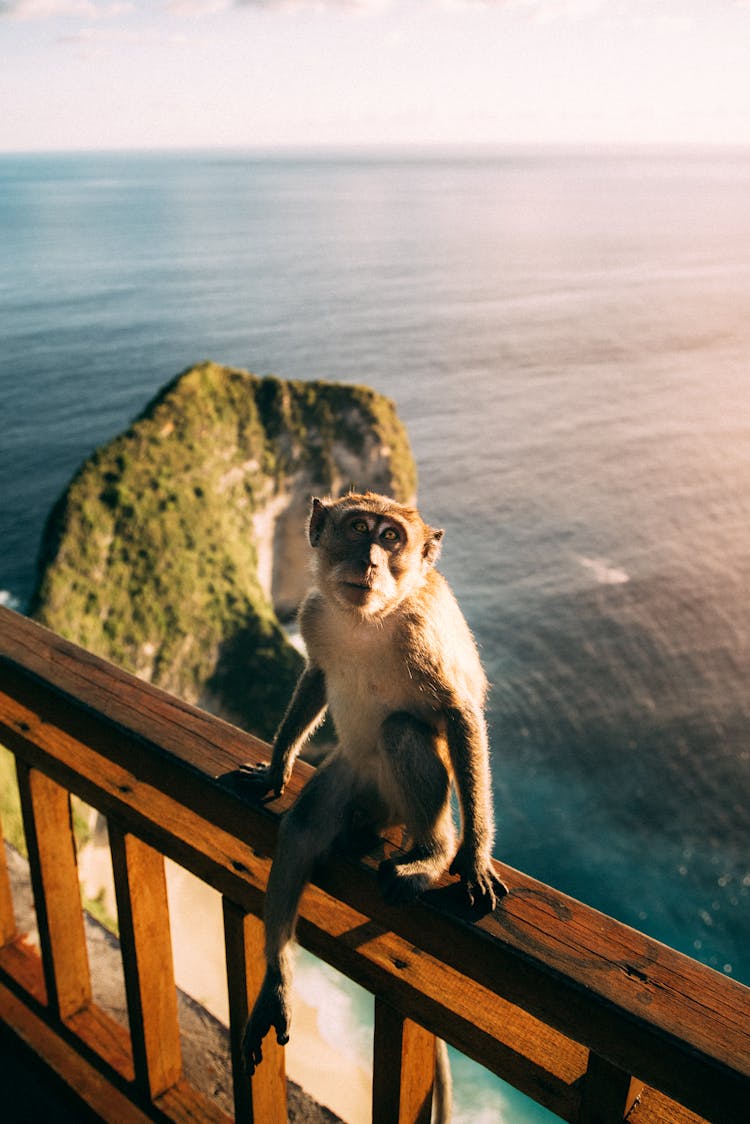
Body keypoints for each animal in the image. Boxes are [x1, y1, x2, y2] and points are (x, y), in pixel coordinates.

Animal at [239, 490, 510, 1097]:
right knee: (303, 828)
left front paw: (474, 856)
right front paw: (276, 767)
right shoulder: (312, 615)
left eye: (391, 538)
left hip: (400, 801)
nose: (370, 561)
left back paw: (432, 854)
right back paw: (276, 984)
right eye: (360, 529)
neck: (369, 619)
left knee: (400, 731)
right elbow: (317, 674)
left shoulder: (424, 632)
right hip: (352, 777)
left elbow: (460, 713)